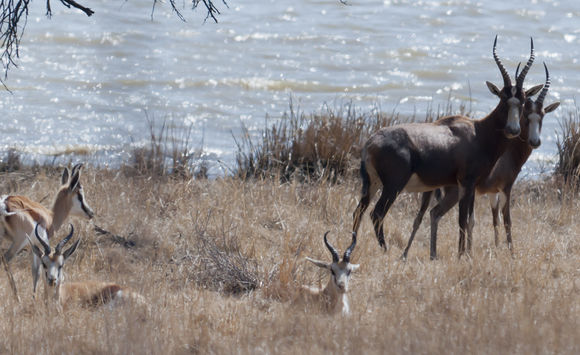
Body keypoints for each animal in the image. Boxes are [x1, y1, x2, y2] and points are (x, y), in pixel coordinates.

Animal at [0, 163, 94, 294]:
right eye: (80, 195)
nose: (91, 213)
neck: (51, 217)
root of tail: (4, 204)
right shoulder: (39, 246)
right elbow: (37, 273)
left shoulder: (32, 248)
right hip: (19, 242)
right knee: (6, 259)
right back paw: (16, 295)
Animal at [354, 36, 544, 258]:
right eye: (504, 99)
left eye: (521, 101)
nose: (513, 129)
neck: (478, 131)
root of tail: (370, 143)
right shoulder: (467, 183)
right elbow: (463, 220)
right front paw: (462, 256)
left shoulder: (465, 185)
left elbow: (466, 220)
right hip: (393, 186)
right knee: (377, 214)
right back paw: (386, 250)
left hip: (373, 184)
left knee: (359, 211)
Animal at [402, 62, 560, 260]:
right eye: (526, 116)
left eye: (542, 115)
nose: (535, 141)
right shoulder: (503, 188)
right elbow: (502, 220)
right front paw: (510, 254)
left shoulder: (490, 193)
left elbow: (492, 220)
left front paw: (491, 250)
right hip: (453, 193)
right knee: (434, 213)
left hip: (431, 190)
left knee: (420, 216)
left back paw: (408, 255)